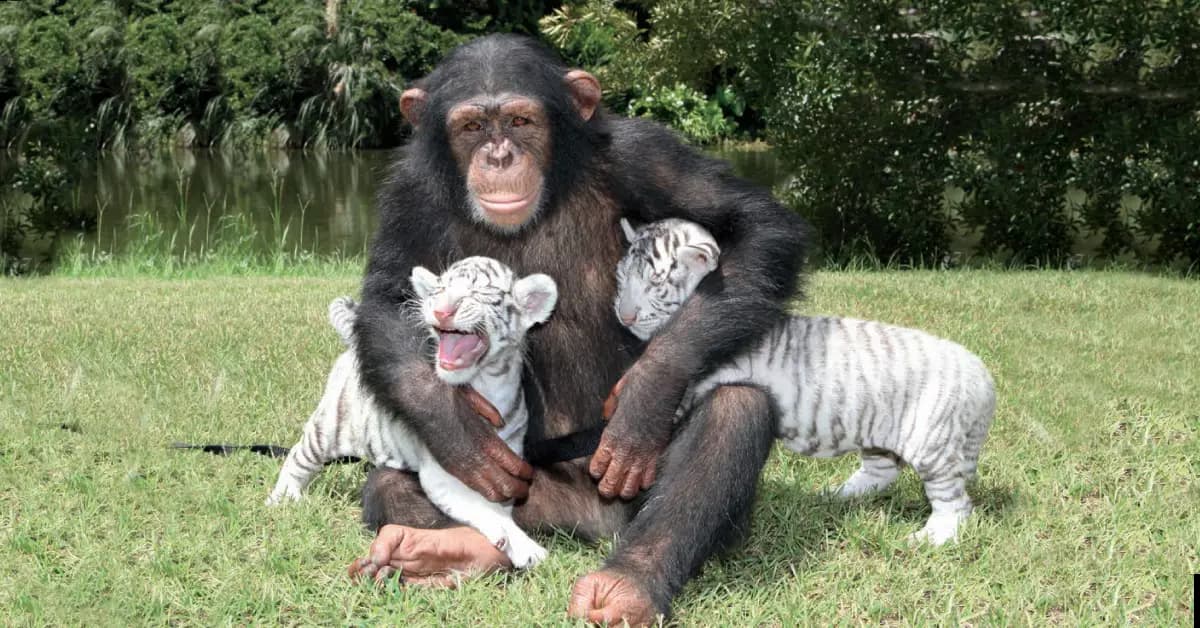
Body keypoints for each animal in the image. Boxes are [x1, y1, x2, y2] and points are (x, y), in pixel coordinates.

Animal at [343, 35, 801, 628]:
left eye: (520, 121)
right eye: (472, 126)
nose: (498, 157)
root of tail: (594, 524)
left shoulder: (645, 152)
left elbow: (755, 227)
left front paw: (648, 393)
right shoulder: (408, 193)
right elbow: (387, 300)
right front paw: (460, 432)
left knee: (735, 409)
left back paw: (627, 583)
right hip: (530, 497)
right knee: (392, 484)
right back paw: (443, 552)